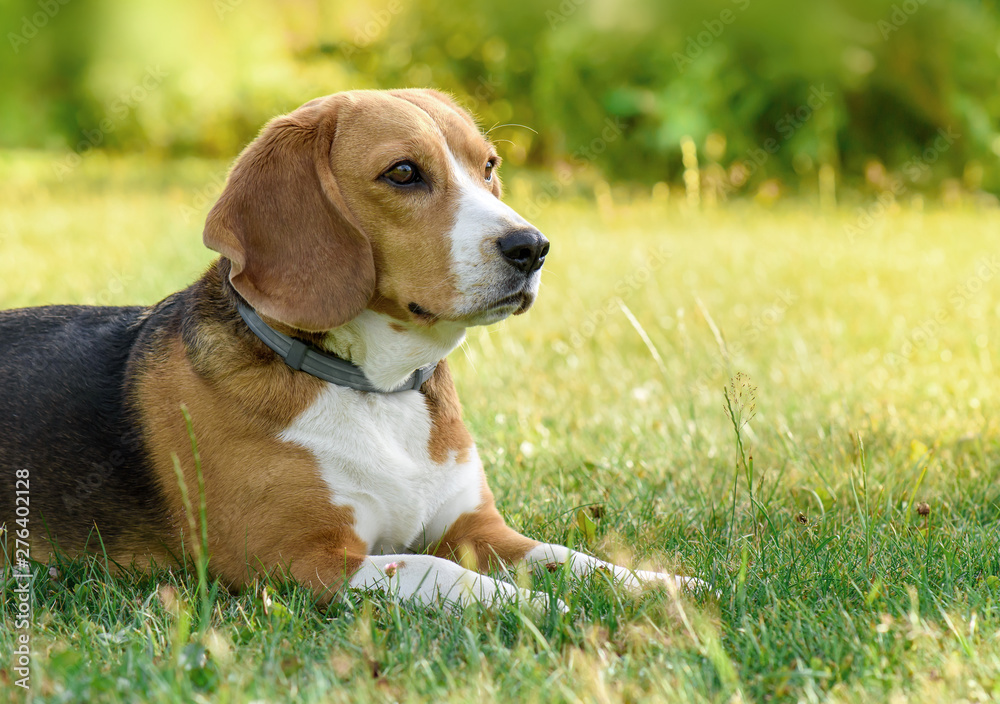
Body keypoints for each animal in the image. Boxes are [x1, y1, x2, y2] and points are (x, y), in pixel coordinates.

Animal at [1, 91, 704, 612]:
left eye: (489, 167)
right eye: (403, 172)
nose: (532, 247)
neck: (376, 391)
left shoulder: (477, 529)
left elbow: (578, 560)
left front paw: (663, 586)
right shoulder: (297, 560)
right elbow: (440, 572)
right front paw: (540, 607)